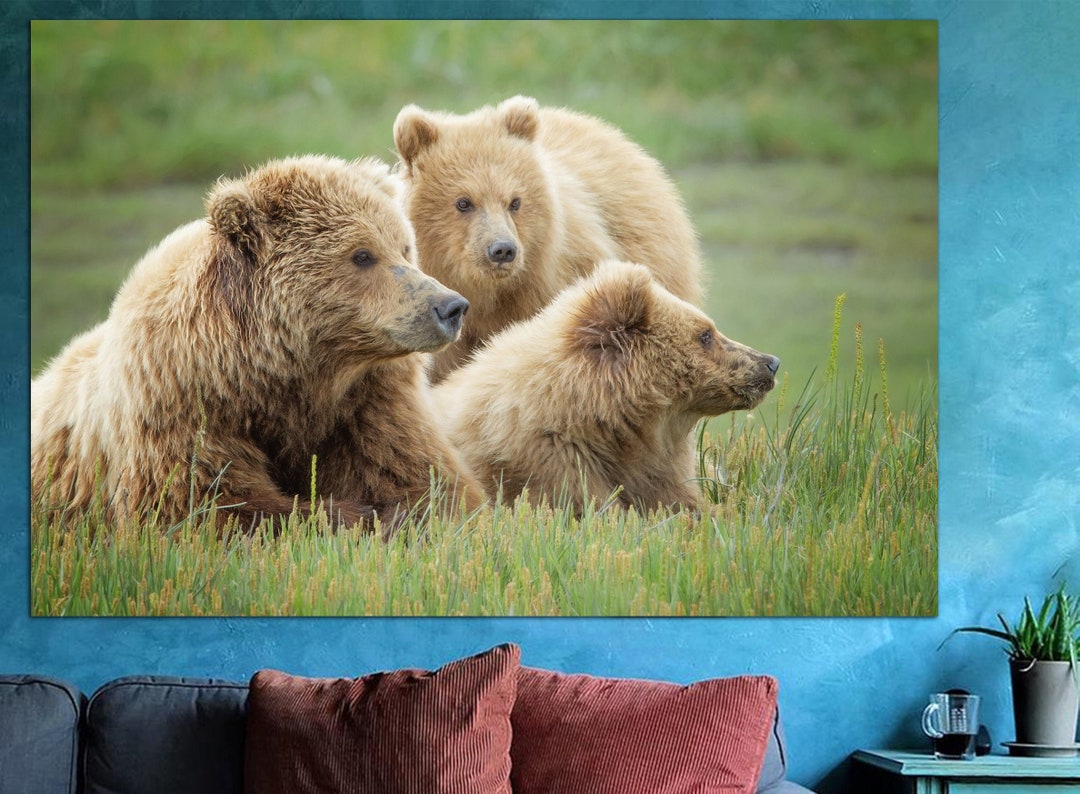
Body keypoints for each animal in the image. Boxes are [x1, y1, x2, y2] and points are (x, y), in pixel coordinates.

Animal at [31, 154, 483, 533]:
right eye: (362, 255)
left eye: (405, 247)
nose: (450, 306)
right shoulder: (184, 407)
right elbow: (209, 506)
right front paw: (357, 514)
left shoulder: (368, 405)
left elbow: (425, 481)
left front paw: (402, 512)